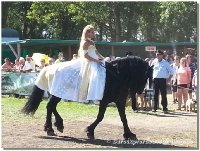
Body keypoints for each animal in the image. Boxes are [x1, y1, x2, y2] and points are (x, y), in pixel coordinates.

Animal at [21, 56, 152, 140]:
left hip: (58, 93)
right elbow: (100, 117)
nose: (140, 91)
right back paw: (52, 127)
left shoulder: (120, 101)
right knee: (50, 106)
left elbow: (124, 118)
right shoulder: (105, 101)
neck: (116, 75)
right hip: (58, 93)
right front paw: (90, 130)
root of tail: (50, 68)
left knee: (51, 106)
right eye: (145, 75)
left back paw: (55, 126)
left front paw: (129, 134)